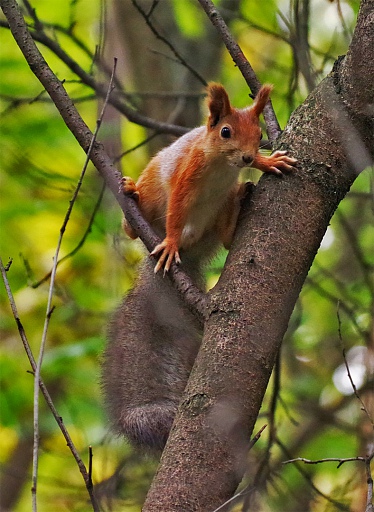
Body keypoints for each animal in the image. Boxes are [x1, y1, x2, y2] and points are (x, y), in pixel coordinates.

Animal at [102, 82, 296, 450]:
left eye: (259, 134)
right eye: (225, 131)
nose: (247, 158)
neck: (221, 165)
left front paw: (268, 161)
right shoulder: (186, 175)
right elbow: (176, 209)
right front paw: (170, 242)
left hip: (217, 212)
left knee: (225, 235)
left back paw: (239, 205)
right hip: (151, 202)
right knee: (138, 223)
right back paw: (135, 204)